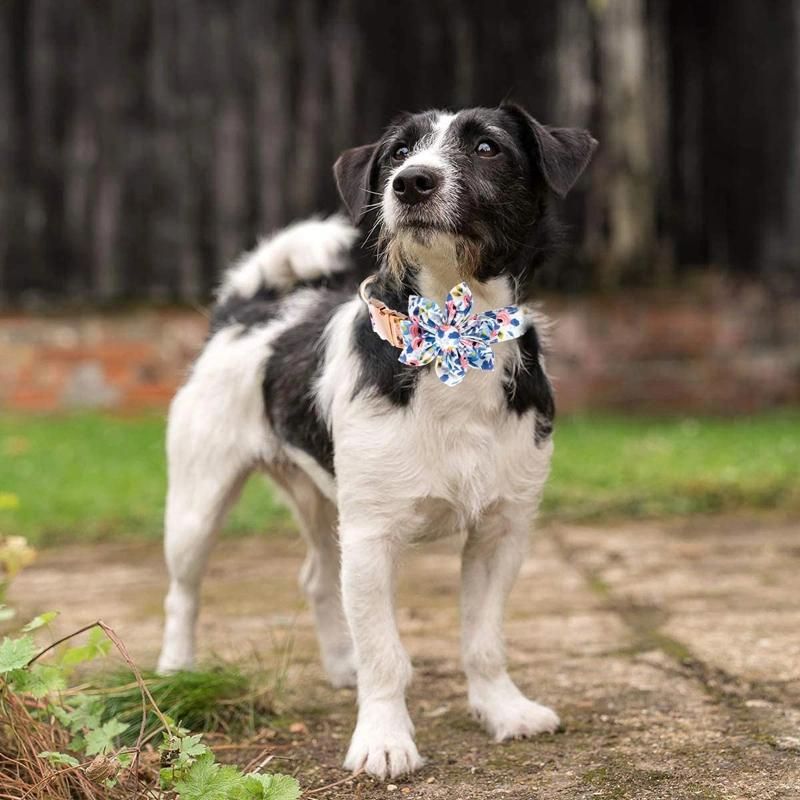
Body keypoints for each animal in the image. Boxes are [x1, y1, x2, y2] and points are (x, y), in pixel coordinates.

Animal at [158, 103, 592, 780]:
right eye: (397, 154)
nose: (410, 183)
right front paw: (384, 740)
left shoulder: (502, 532)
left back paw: (342, 666)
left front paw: (502, 710)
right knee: (183, 591)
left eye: (488, 147)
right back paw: (176, 667)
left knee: (316, 578)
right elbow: (387, 653)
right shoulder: (371, 538)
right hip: (198, 504)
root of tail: (242, 314)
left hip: (320, 499)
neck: (449, 335)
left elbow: (484, 641)